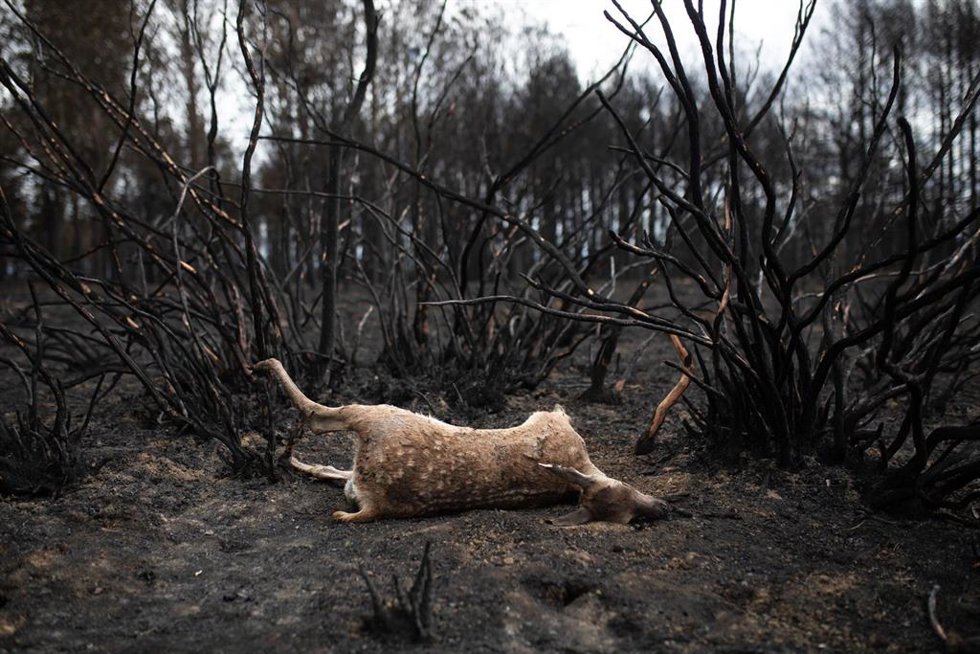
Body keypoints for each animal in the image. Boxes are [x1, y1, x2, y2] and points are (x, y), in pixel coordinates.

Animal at [252, 358, 669, 526]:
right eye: (630, 510)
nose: (663, 508)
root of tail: (376, 505)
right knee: (332, 461)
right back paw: (289, 456)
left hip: (381, 416)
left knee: (319, 415)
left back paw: (263, 369)